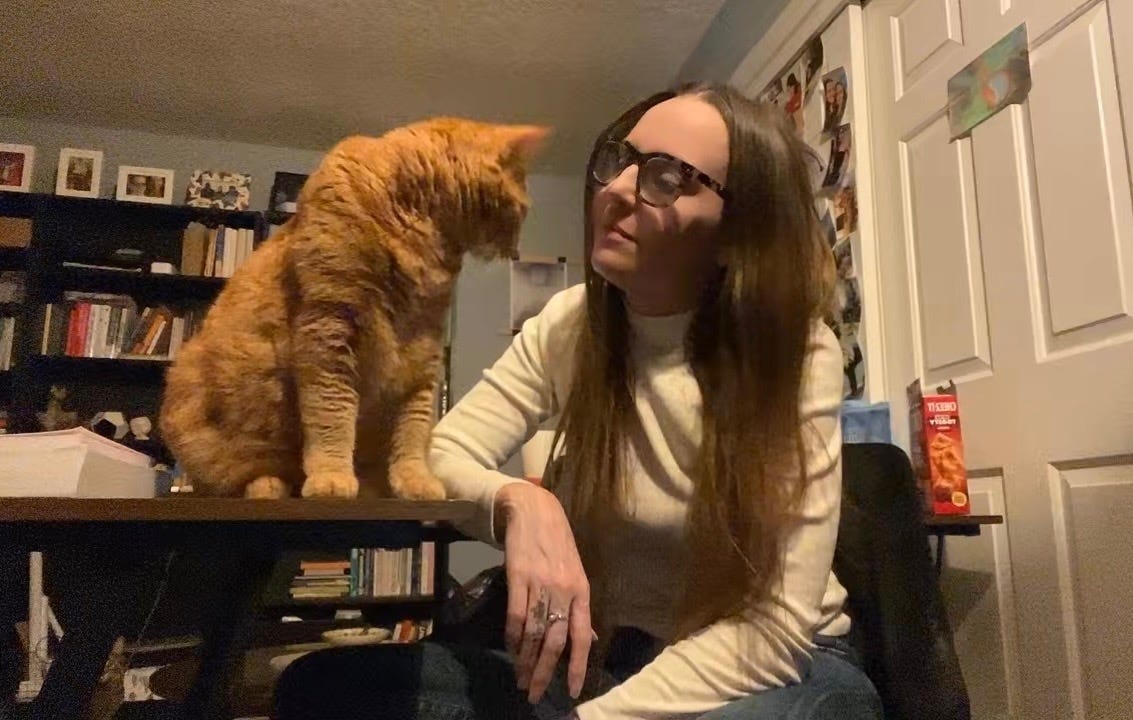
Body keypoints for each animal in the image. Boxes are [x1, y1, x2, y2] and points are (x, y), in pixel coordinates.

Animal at [159, 118, 548, 500]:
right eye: (520, 212)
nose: (516, 249)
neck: (420, 232)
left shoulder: (423, 351)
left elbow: (413, 431)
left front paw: (414, 481)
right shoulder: (329, 332)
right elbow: (332, 416)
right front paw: (332, 477)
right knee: (233, 478)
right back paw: (270, 486)